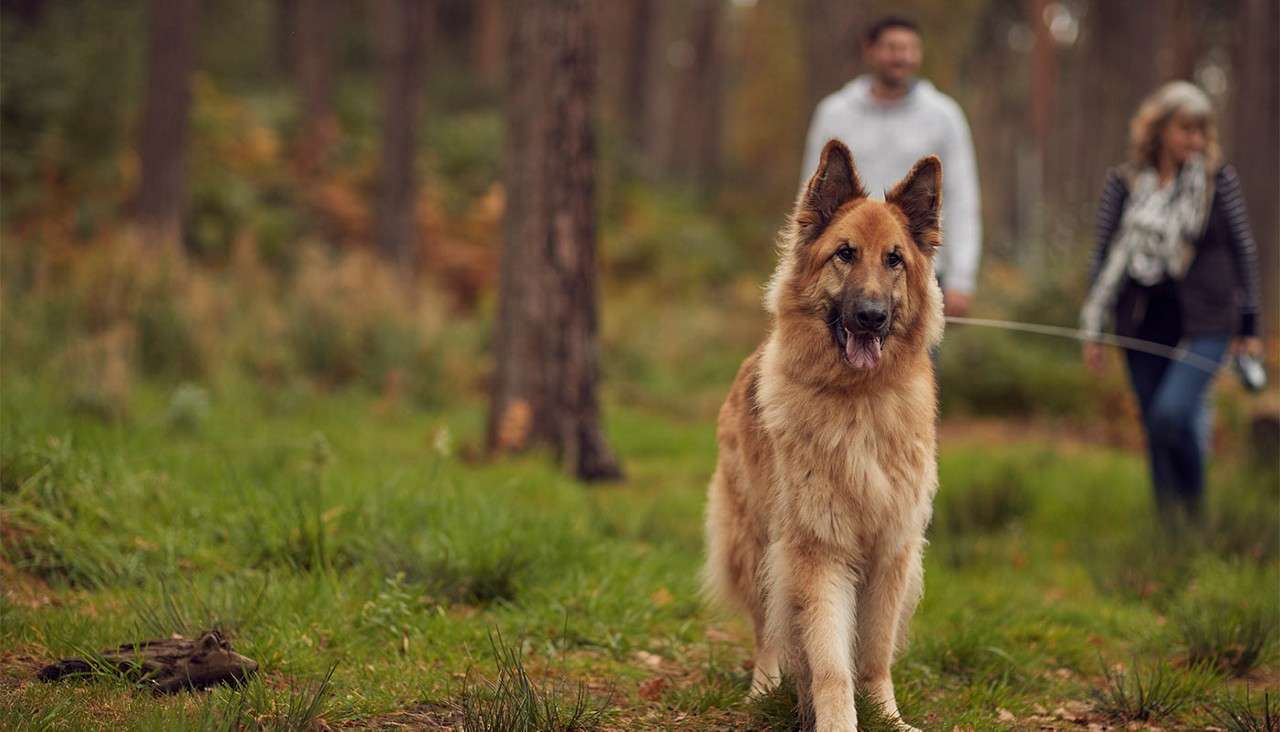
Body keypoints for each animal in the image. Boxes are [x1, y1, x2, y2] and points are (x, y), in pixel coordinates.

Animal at [701, 138, 942, 732]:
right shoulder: (818, 550)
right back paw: (764, 689)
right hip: (760, 544)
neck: (859, 401)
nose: (871, 317)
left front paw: (887, 716)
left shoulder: (891, 550)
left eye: (895, 260)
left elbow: (873, 654)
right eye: (845, 254)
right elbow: (831, 660)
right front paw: (836, 720)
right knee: (768, 629)